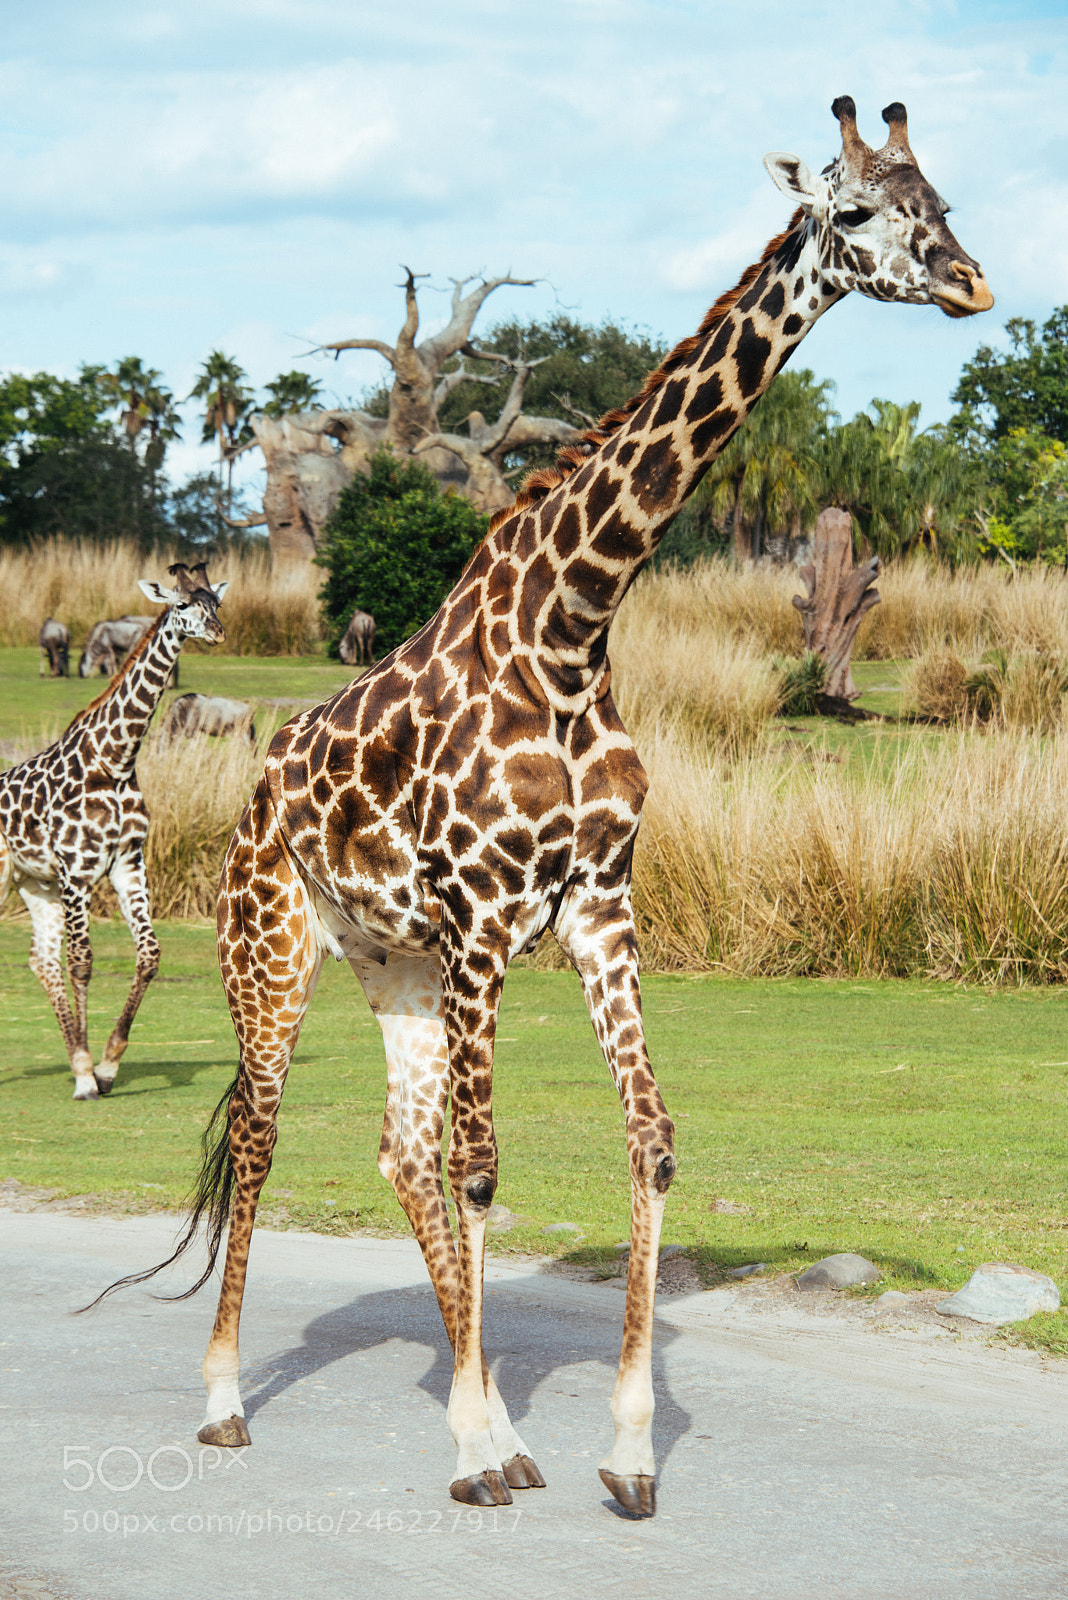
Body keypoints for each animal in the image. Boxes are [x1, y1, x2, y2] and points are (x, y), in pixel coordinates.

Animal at [0, 565, 228, 1100]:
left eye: (216, 604)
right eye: (181, 605)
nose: (217, 633)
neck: (115, 760)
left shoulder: (127, 864)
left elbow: (148, 955)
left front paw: (104, 1065)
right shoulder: (76, 871)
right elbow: (82, 961)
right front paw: (85, 1075)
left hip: (33, 883)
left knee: (41, 960)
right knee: (53, 959)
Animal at [102, 99, 992, 1516]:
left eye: (941, 202)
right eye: (854, 211)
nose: (969, 283)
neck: (571, 630)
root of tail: (251, 797)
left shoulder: (597, 909)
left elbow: (649, 1141)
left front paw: (618, 1453)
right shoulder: (481, 915)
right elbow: (484, 1166)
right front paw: (471, 1451)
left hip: (396, 966)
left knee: (398, 1147)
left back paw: (501, 1428)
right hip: (273, 951)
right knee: (262, 1131)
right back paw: (232, 1402)